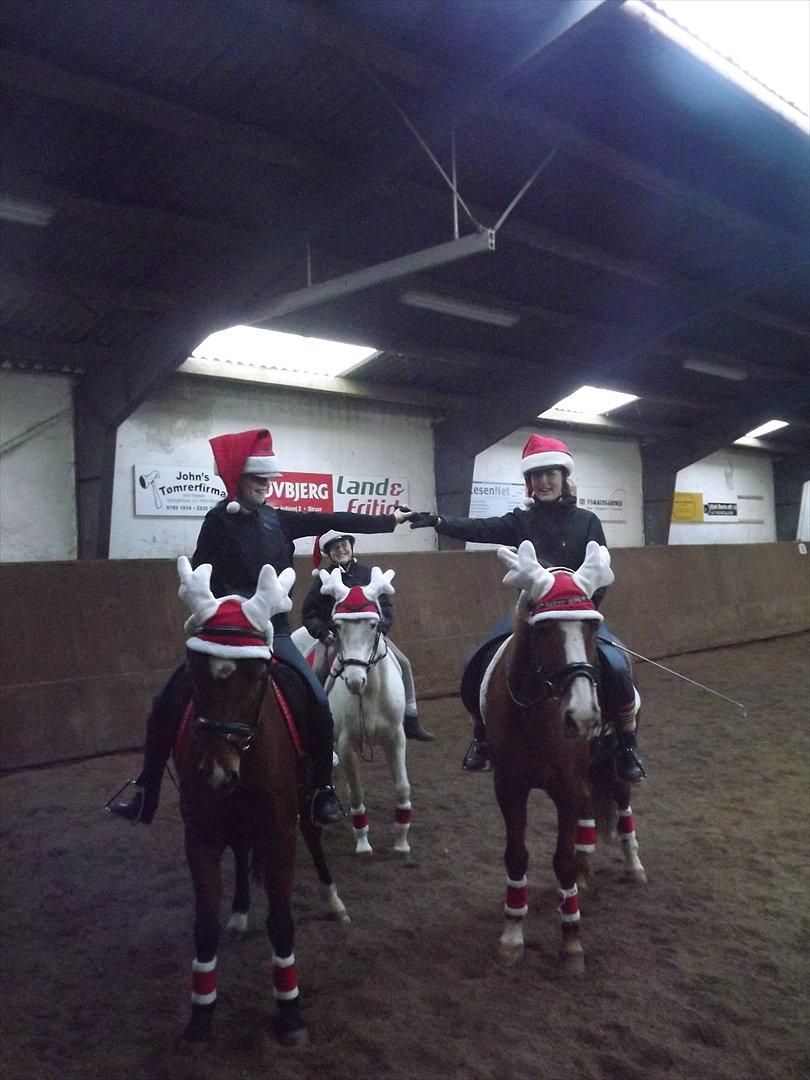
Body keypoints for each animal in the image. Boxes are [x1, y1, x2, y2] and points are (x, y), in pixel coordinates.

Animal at [176, 552, 343, 1041]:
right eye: (193, 669)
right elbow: (204, 926)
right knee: (241, 850)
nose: (219, 772)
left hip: (305, 803)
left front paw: (290, 1009)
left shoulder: (280, 829)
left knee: (313, 838)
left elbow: (282, 922)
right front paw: (201, 1012)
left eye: (258, 674)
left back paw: (333, 901)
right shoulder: (201, 835)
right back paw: (239, 910)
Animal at [481, 544, 648, 976]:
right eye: (544, 630)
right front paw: (511, 936)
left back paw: (633, 866)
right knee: (590, 812)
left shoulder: (566, 785)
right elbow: (517, 857)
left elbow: (562, 861)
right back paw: (588, 869)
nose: (584, 716)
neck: (534, 713)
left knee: (622, 803)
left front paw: (572, 941)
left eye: (590, 629)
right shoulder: (510, 786)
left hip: (614, 760)